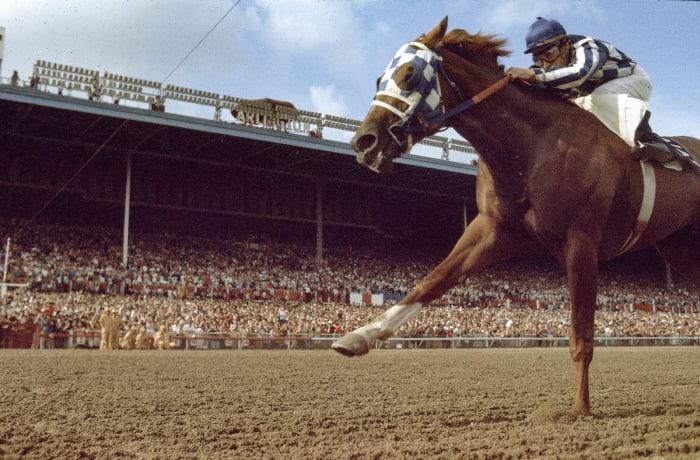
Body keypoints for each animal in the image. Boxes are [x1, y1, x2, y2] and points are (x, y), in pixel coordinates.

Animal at [330, 17, 696, 416]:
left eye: (409, 75)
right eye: (379, 79)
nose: (364, 143)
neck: (533, 147)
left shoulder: (582, 240)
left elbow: (581, 335)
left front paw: (581, 409)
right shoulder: (493, 230)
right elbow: (431, 281)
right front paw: (357, 337)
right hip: (680, 249)